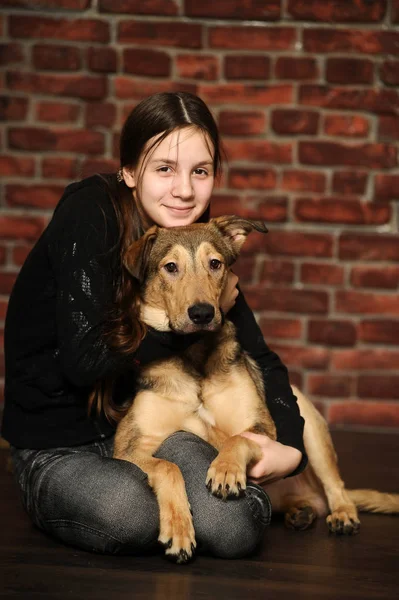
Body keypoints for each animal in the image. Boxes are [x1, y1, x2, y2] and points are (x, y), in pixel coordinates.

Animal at [112, 216, 399, 564]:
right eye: (170, 267)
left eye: (215, 263)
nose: (202, 313)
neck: (194, 354)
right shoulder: (129, 446)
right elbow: (168, 467)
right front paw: (179, 530)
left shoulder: (263, 427)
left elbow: (238, 439)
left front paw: (225, 470)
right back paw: (301, 512)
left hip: (309, 423)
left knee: (335, 484)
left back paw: (343, 513)